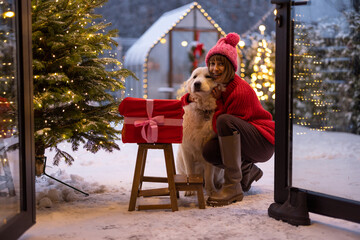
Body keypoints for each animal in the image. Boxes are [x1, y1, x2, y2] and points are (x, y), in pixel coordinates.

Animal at [176, 66, 224, 196]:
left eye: (208, 76)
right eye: (195, 77)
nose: (197, 83)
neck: (202, 109)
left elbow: (209, 174)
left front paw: (211, 190)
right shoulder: (186, 149)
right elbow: (190, 171)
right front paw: (190, 190)